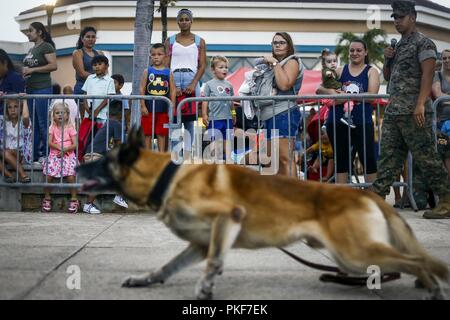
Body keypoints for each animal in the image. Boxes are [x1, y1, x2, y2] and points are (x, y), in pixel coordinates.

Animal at [77, 127, 446, 300]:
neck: (166, 176)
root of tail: (369, 194)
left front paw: (204, 288)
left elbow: (214, 262)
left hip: (355, 253)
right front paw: (146, 279)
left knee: (418, 260)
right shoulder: (200, 243)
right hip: (353, 257)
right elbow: (168, 266)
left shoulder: (228, 218)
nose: (78, 167)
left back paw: (434, 288)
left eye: (102, 160)